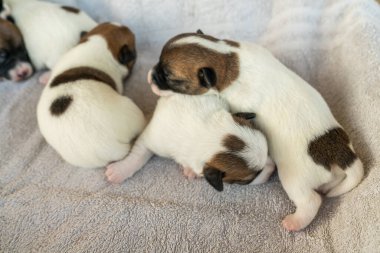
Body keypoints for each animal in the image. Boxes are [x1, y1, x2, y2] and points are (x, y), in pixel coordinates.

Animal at [105, 69, 274, 192]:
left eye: (268, 152)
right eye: (250, 178)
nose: (273, 168)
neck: (206, 134)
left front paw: (190, 170)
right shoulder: (153, 137)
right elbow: (137, 156)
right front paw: (120, 170)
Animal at [145, 30, 366, 231]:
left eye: (168, 76)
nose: (150, 76)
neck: (226, 57)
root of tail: (341, 152)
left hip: (295, 179)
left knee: (310, 200)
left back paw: (295, 222)